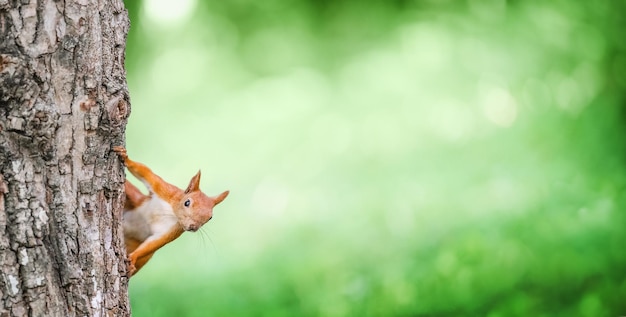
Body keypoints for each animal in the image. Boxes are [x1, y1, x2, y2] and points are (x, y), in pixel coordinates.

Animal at [112, 146, 229, 274]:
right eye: (187, 202)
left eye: (210, 218)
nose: (192, 227)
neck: (172, 212)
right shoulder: (165, 190)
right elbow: (145, 172)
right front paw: (125, 158)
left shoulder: (174, 230)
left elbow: (155, 243)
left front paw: (133, 257)